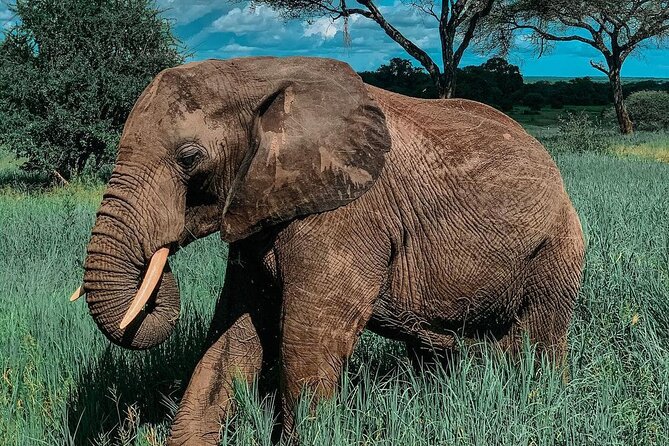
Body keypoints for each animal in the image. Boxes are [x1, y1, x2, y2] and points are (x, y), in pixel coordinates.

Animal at [72, 57, 585, 445]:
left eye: (189, 158)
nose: (158, 270)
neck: (257, 76)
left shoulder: (347, 212)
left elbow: (307, 342)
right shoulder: (258, 207)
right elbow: (229, 340)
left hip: (558, 246)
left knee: (539, 340)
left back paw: (541, 399)